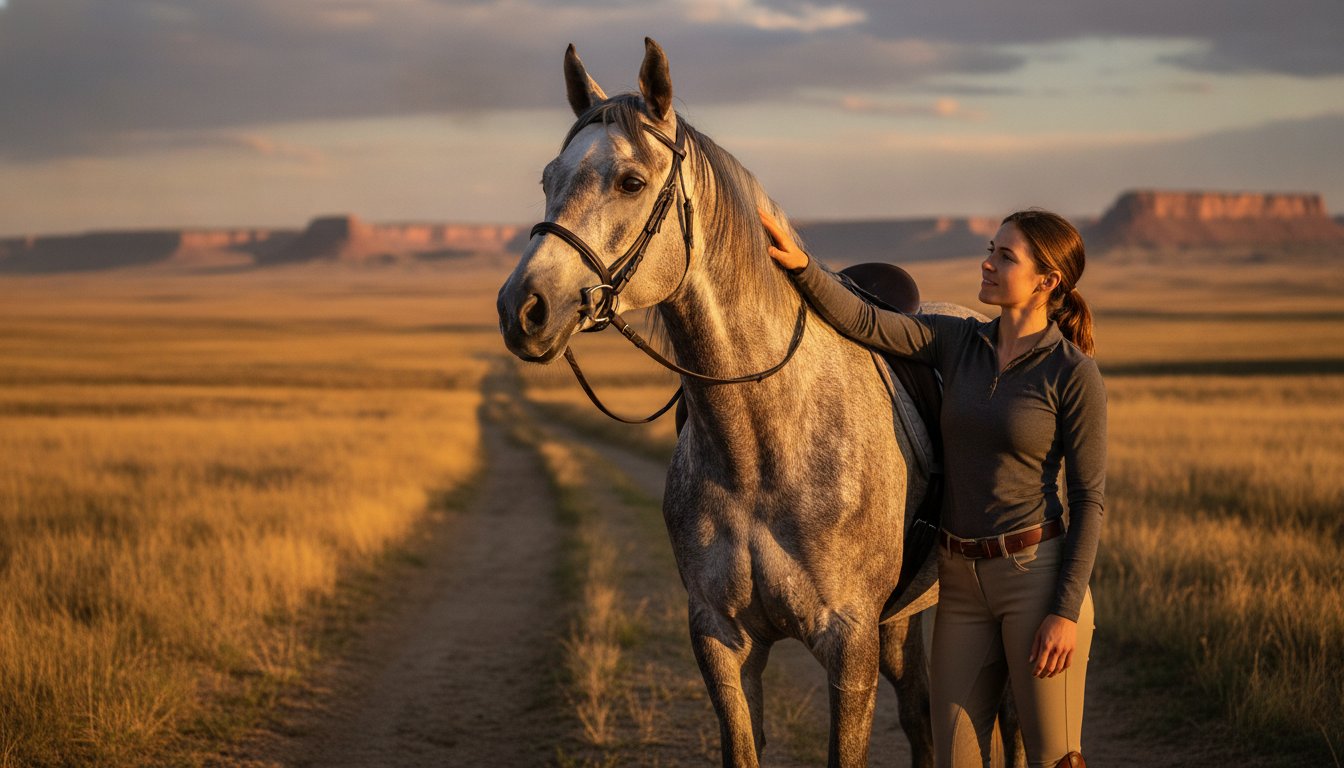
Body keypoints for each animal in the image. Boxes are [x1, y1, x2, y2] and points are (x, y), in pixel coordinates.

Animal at [497, 38, 946, 767]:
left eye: (629, 182)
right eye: (547, 179)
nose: (523, 309)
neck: (762, 450)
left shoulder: (850, 644)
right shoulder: (721, 639)